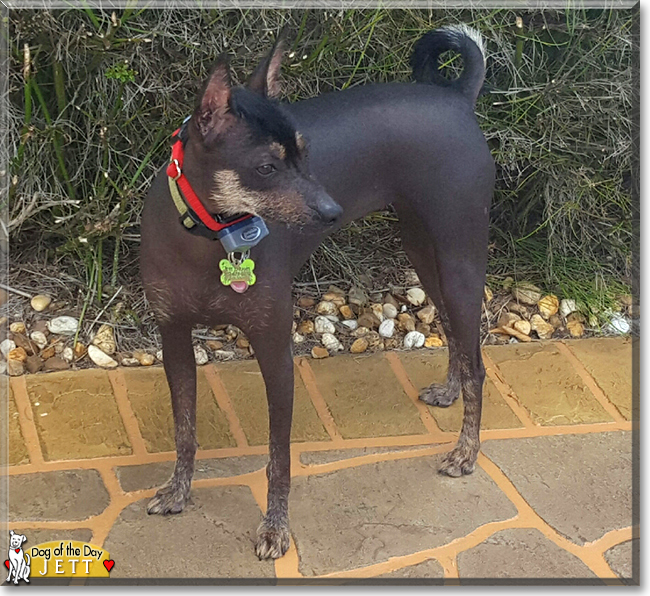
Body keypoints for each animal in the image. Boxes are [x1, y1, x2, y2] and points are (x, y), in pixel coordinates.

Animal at [140, 25, 492, 560]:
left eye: (307, 155)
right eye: (267, 168)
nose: (332, 210)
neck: (209, 236)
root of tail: (456, 99)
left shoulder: (275, 352)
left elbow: (278, 456)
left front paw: (275, 528)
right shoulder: (174, 340)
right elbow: (185, 429)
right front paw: (179, 490)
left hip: (459, 262)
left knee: (478, 364)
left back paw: (465, 452)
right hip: (423, 251)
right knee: (456, 335)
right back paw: (450, 389)